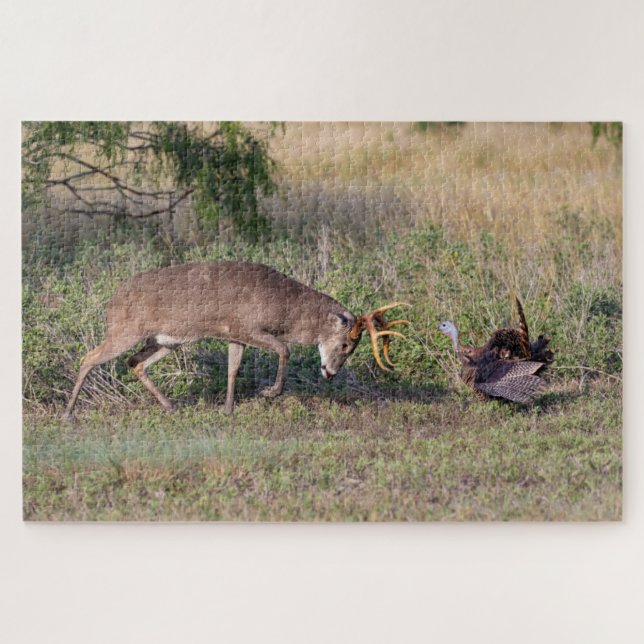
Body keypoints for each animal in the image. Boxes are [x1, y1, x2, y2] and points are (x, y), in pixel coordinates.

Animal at [63, 261, 411, 417]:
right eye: (345, 344)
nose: (330, 372)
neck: (285, 308)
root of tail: (111, 302)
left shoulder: (235, 335)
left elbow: (233, 368)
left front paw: (228, 408)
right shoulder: (246, 326)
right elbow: (284, 350)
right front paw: (270, 393)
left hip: (165, 341)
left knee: (135, 363)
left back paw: (171, 406)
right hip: (125, 330)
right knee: (90, 357)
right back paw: (69, 411)